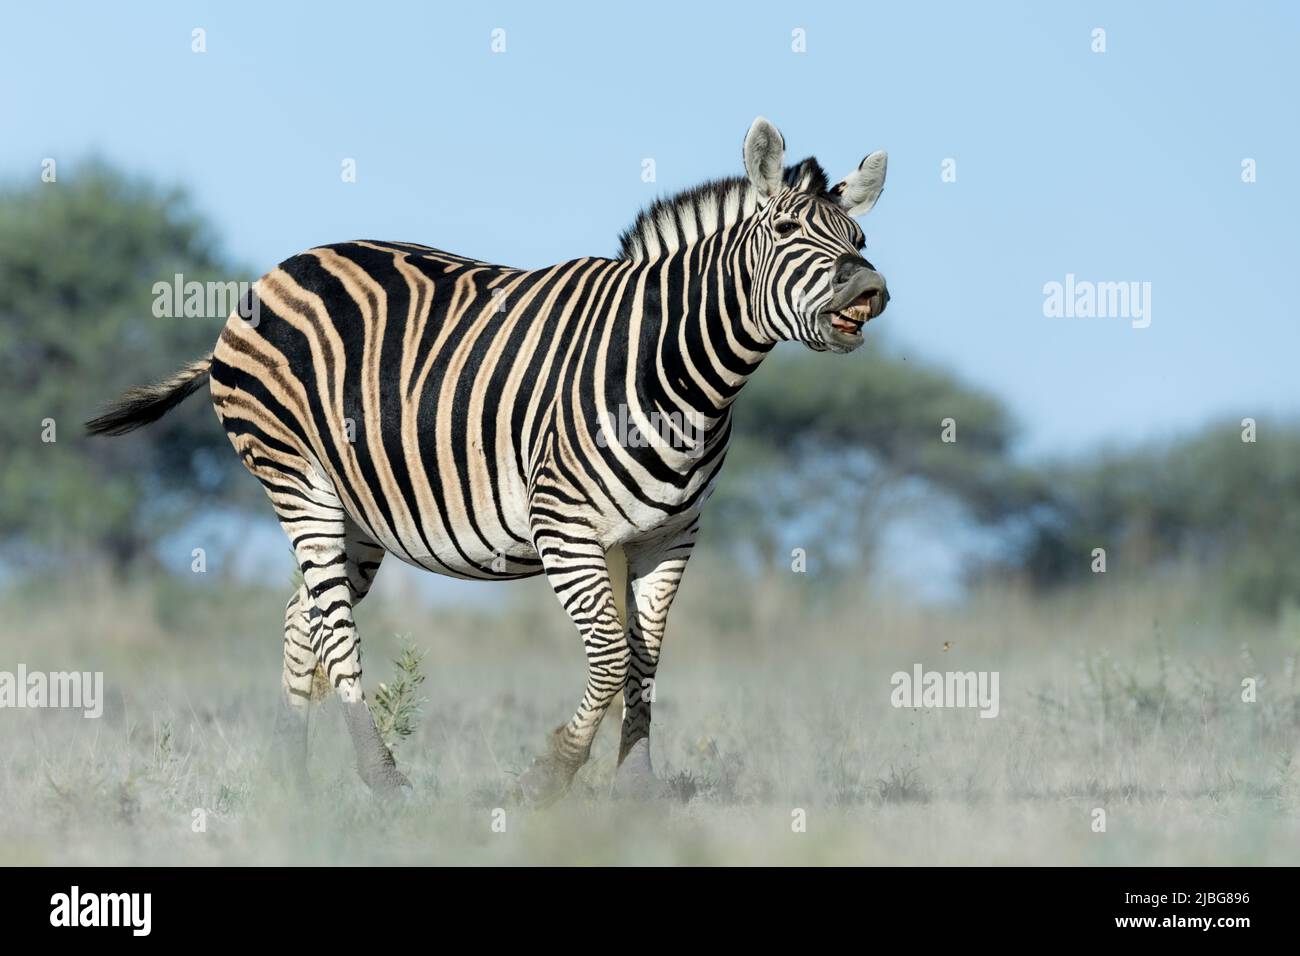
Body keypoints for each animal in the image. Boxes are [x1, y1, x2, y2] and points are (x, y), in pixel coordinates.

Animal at [86, 121, 889, 806]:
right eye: (785, 231)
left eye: (860, 237)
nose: (869, 290)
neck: (681, 373)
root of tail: (273, 274)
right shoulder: (564, 525)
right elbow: (608, 660)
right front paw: (549, 776)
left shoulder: (669, 535)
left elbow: (644, 661)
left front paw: (637, 790)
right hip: (295, 476)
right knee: (336, 632)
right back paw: (383, 781)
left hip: (359, 513)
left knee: (301, 616)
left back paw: (293, 780)